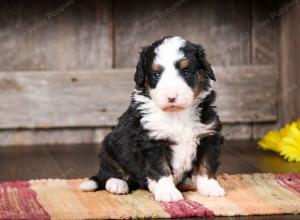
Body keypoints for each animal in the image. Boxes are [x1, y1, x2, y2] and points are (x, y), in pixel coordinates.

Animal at [79, 35, 225, 201]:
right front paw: (168, 192)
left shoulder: (208, 135)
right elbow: (161, 169)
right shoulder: (152, 142)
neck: (177, 114)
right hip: (109, 149)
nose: (171, 97)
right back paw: (117, 184)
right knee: (108, 173)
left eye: (186, 72)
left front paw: (211, 187)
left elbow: (206, 164)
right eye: (156, 75)